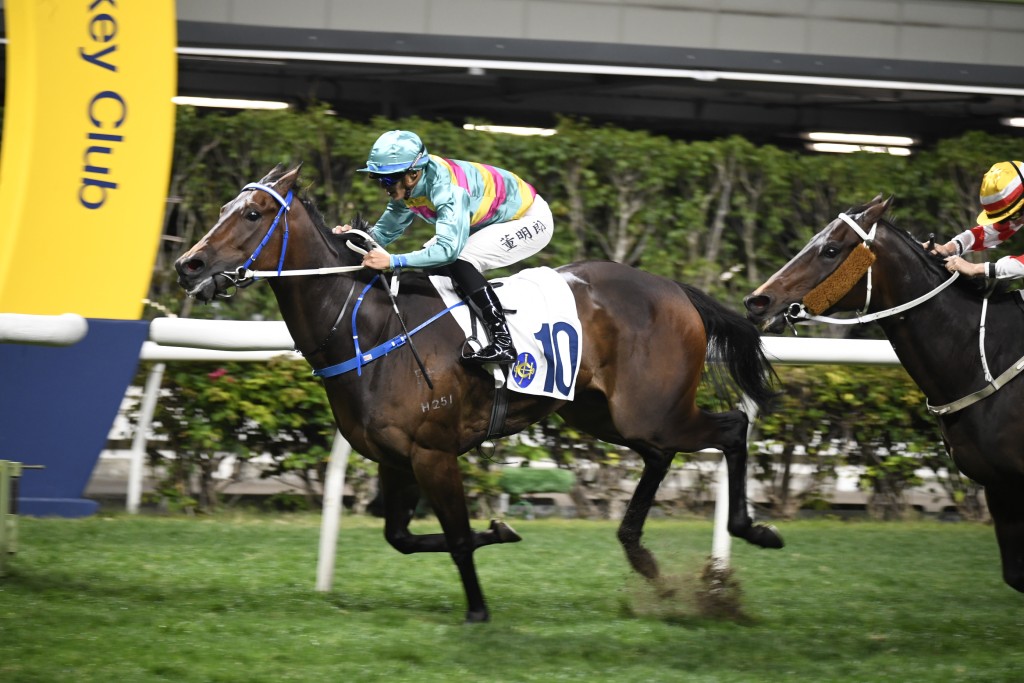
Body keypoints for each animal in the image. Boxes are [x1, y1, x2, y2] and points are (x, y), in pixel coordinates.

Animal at [178, 165, 782, 626]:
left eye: (253, 213)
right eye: (227, 206)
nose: (189, 265)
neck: (369, 325)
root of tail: (674, 289)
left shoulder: (434, 453)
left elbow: (458, 537)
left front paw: (478, 609)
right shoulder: (395, 459)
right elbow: (403, 537)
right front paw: (500, 529)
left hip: (650, 411)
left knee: (731, 427)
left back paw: (750, 530)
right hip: (602, 414)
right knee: (660, 455)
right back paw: (642, 555)